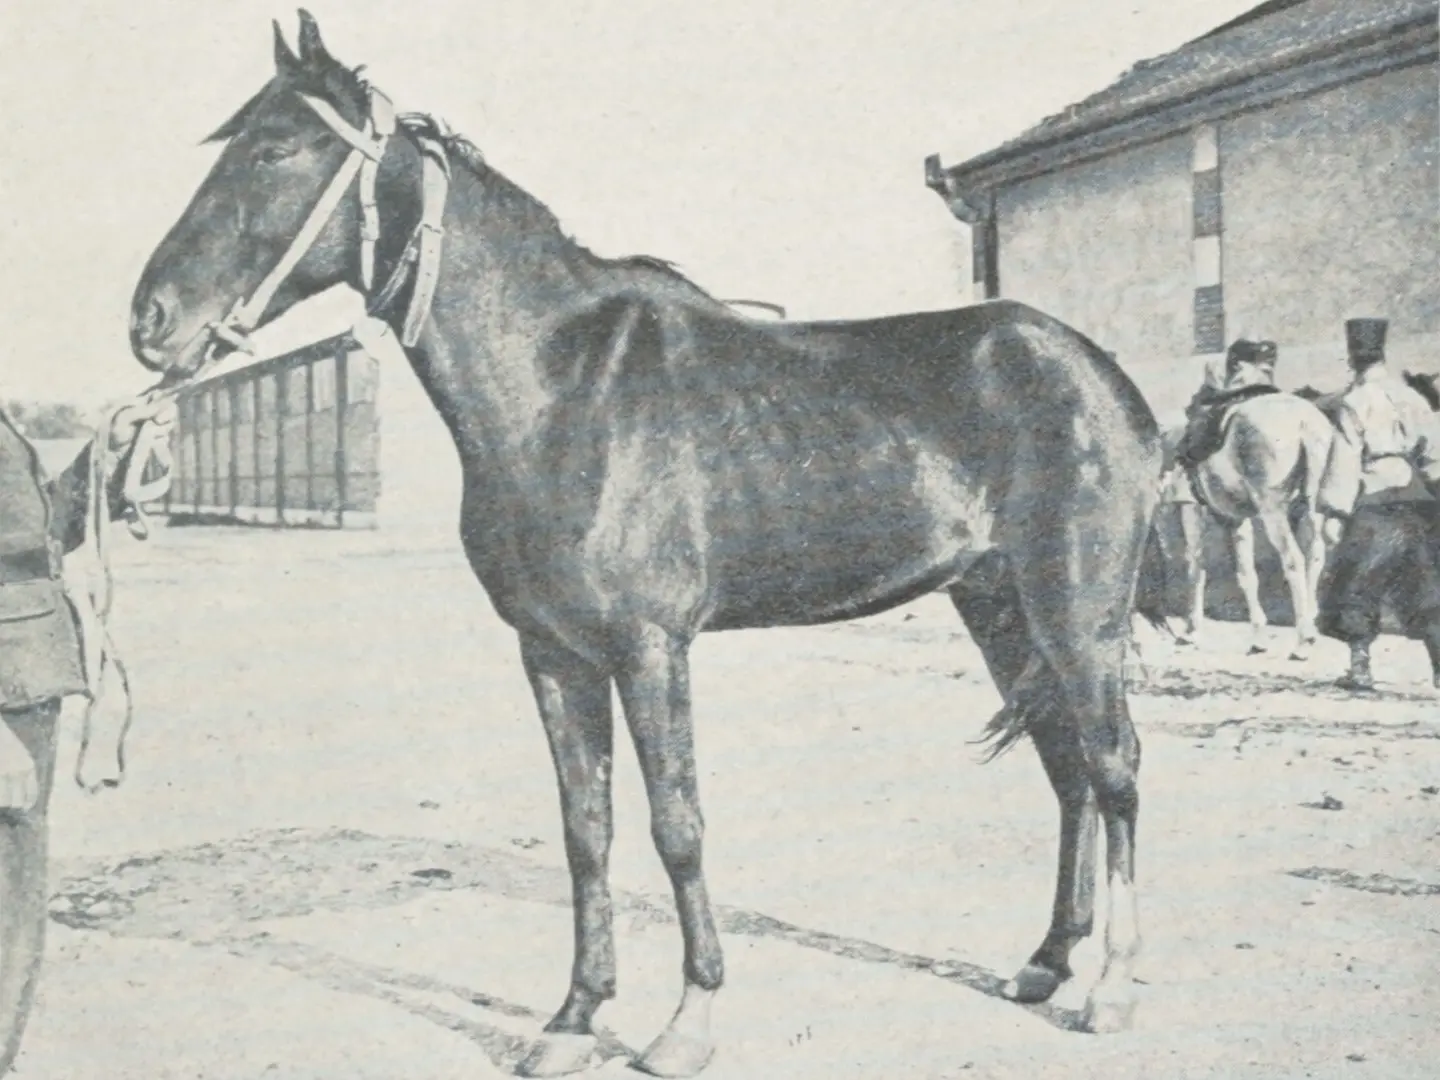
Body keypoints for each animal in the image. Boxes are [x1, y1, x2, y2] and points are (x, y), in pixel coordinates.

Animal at [126, 13, 1166, 1076]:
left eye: (278, 147)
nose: (150, 319)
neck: (557, 385)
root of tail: (1102, 373)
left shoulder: (649, 648)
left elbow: (677, 825)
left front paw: (688, 1020)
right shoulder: (552, 654)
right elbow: (588, 828)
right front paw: (573, 1017)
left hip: (1076, 612)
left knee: (1114, 765)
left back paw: (1114, 988)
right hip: (996, 603)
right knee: (1067, 769)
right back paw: (1046, 962)